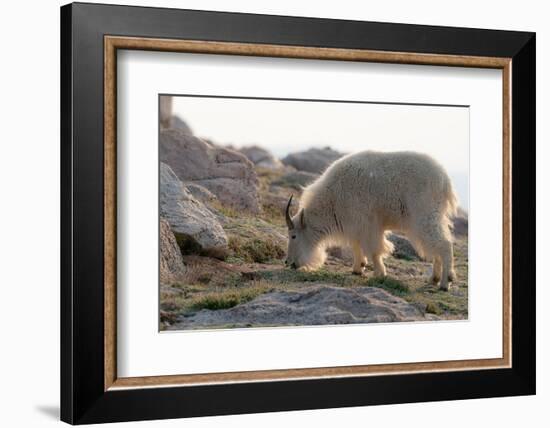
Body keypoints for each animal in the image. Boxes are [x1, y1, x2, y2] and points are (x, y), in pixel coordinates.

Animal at [286, 150, 460, 290]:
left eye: (293, 236)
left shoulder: (366, 223)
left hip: (424, 216)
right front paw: (358, 268)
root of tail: (445, 181)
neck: (331, 199)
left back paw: (445, 283)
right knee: (438, 245)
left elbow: (375, 249)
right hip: (433, 217)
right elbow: (356, 245)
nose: (289, 263)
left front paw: (379, 273)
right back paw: (434, 279)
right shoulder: (355, 224)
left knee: (444, 244)